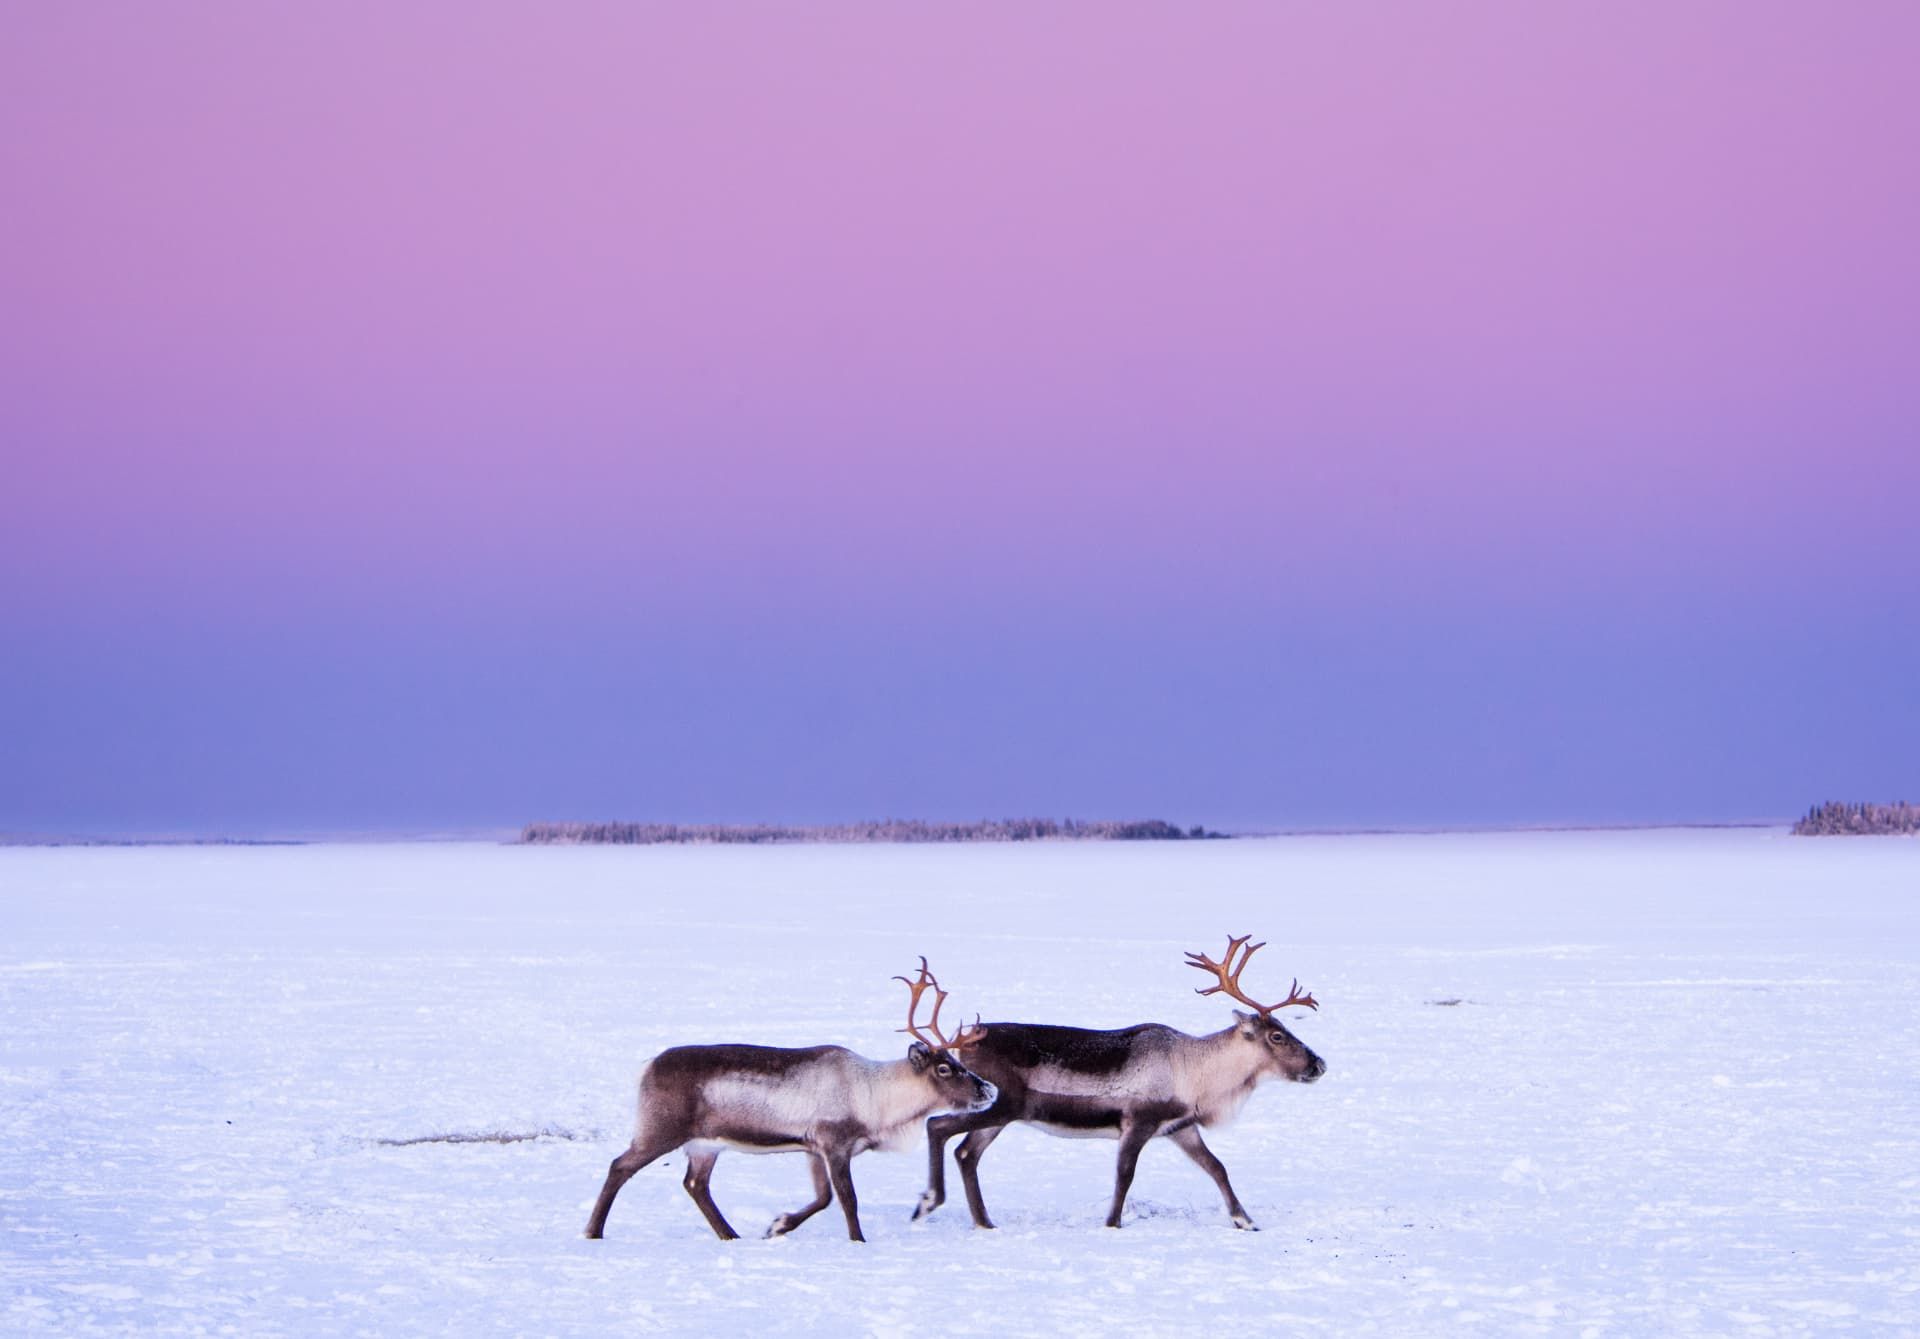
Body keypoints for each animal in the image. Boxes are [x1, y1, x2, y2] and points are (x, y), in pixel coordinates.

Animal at [583, 959, 995, 1243]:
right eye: (945, 1068)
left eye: (959, 1063)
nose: (988, 1090)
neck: (875, 1099)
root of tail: (646, 1067)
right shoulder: (833, 1142)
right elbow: (847, 1199)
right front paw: (857, 1240)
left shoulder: (813, 1147)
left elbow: (823, 1198)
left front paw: (777, 1226)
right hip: (660, 1128)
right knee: (620, 1166)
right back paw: (593, 1231)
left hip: (705, 1144)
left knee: (695, 1184)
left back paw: (731, 1235)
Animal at [911, 935, 1324, 1231]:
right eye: (1276, 1036)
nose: (1319, 1064)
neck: (1198, 1076)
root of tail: (959, 1044)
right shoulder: (1137, 1122)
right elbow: (1124, 1177)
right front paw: (1112, 1225)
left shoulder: (1180, 1127)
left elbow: (1217, 1167)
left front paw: (1246, 1221)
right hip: (999, 1104)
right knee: (938, 1126)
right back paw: (928, 1201)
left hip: (1001, 1114)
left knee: (967, 1153)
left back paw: (984, 1222)